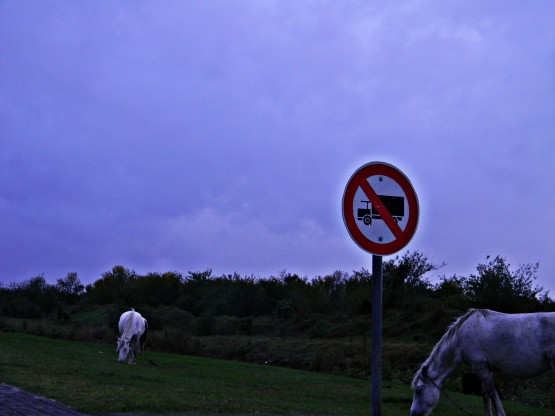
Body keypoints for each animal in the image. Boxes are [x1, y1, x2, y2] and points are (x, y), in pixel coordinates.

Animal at [410, 308, 555, 416]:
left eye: (418, 391)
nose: (413, 414)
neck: (461, 337)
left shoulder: (480, 367)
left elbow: (492, 395)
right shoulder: (486, 369)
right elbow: (486, 396)